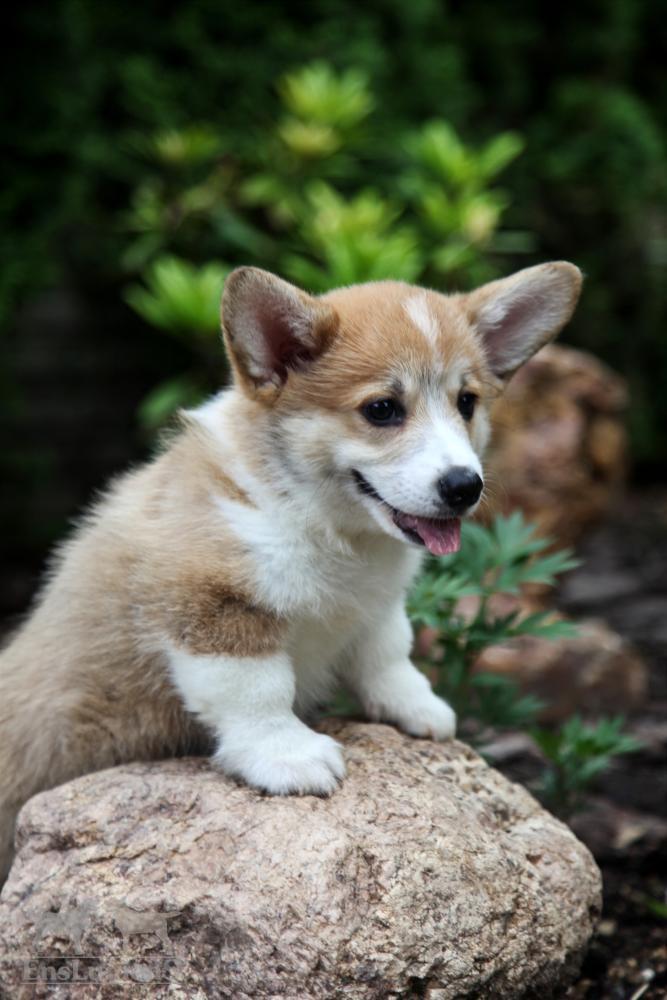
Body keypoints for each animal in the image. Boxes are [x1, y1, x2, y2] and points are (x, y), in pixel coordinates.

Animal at [0, 262, 580, 880]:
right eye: (382, 409)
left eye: (466, 402)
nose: (464, 486)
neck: (323, 522)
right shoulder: (211, 604)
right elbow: (258, 690)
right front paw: (289, 757)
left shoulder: (375, 606)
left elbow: (388, 653)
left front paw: (418, 709)